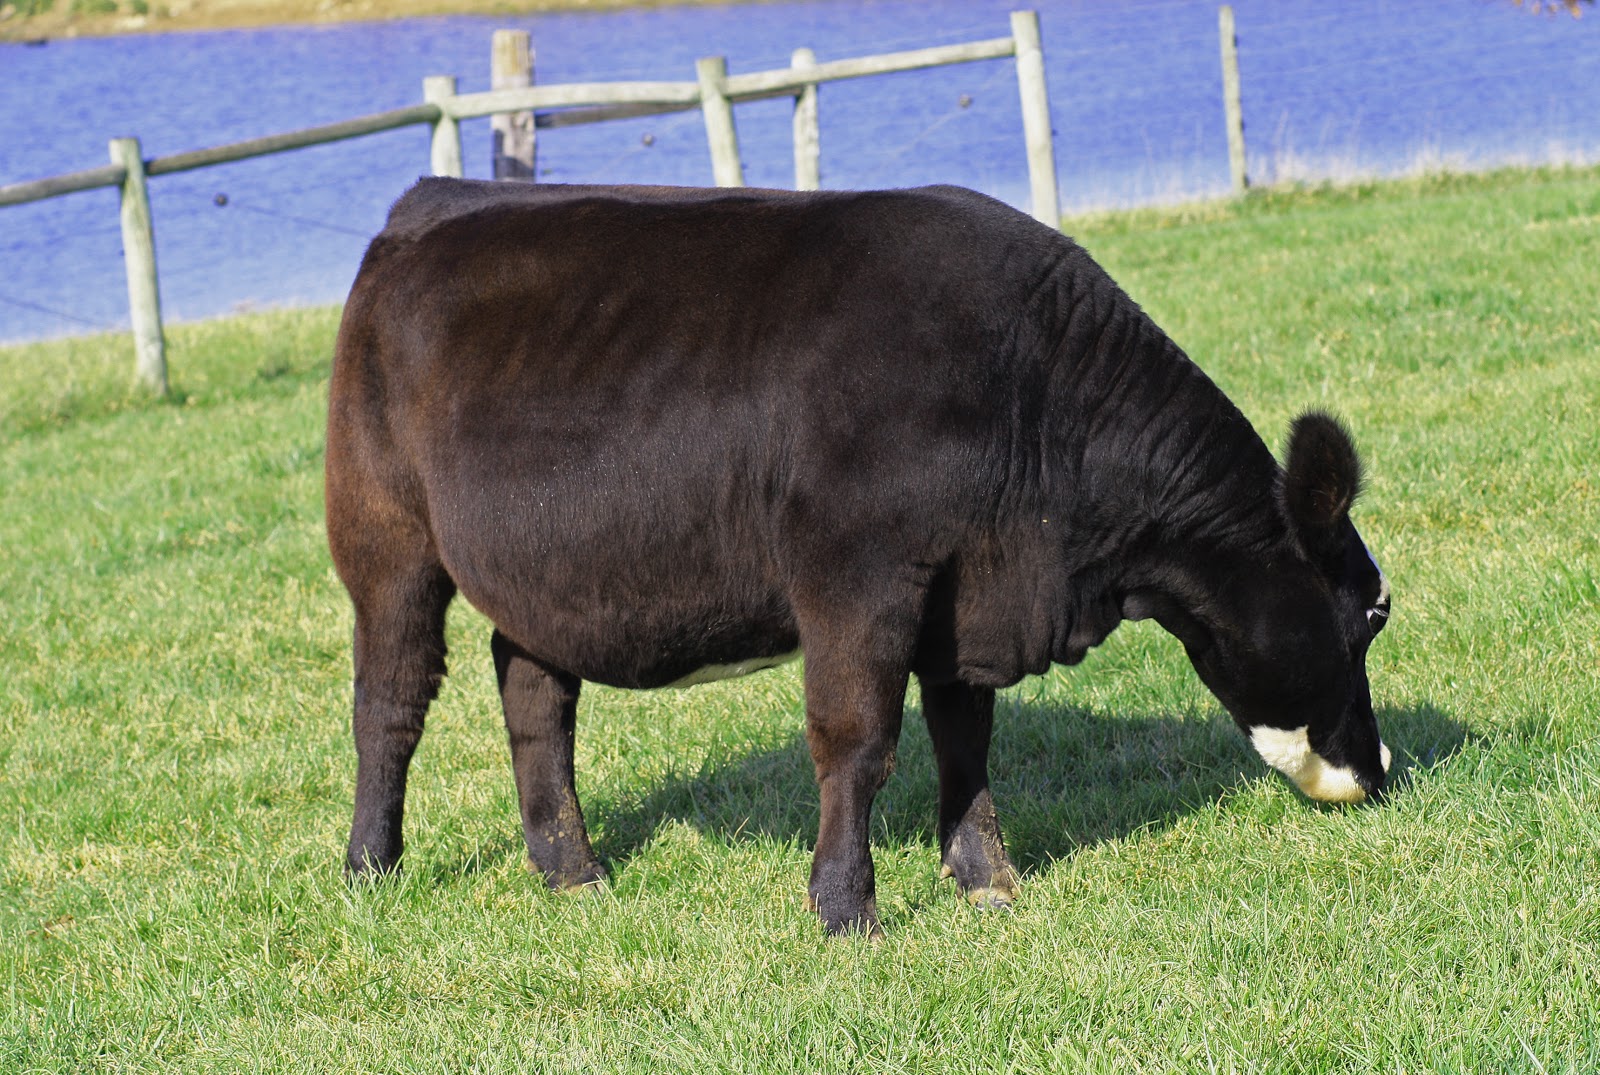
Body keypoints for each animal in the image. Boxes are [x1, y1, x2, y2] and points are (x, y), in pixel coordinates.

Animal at [326, 178, 1393, 936]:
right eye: (1375, 612)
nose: (1381, 770)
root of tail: (435, 200)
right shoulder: (857, 578)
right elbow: (859, 740)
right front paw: (845, 908)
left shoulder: (966, 598)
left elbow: (965, 737)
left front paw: (987, 880)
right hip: (385, 540)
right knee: (392, 698)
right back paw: (370, 865)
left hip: (545, 572)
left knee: (533, 690)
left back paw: (571, 870)